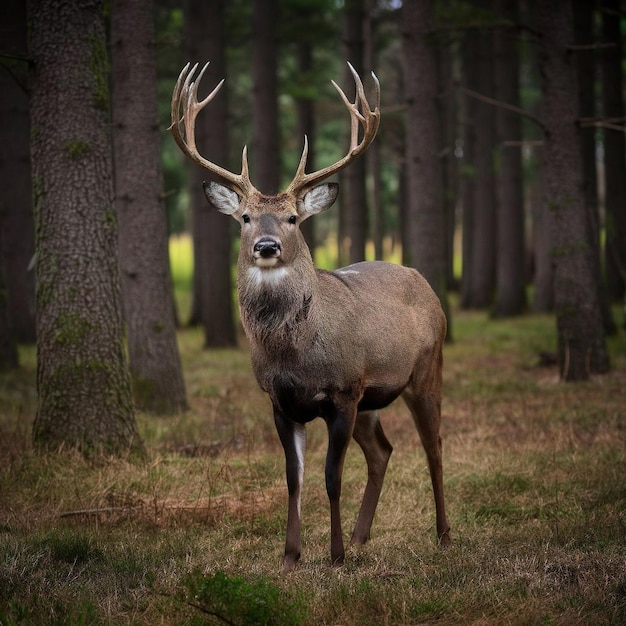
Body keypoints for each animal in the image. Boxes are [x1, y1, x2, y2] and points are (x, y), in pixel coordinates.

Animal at [171, 59, 448, 572]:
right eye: (244, 217)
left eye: (293, 219)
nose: (266, 245)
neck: (295, 357)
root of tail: (423, 282)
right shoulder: (281, 402)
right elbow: (293, 478)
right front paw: (291, 556)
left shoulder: (342, 391)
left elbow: (331, 477)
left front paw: (333, 555)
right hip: (371, 400)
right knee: (383, 451)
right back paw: (362, 538)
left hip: (424, 369)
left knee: (433, 446)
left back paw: (441, 534)